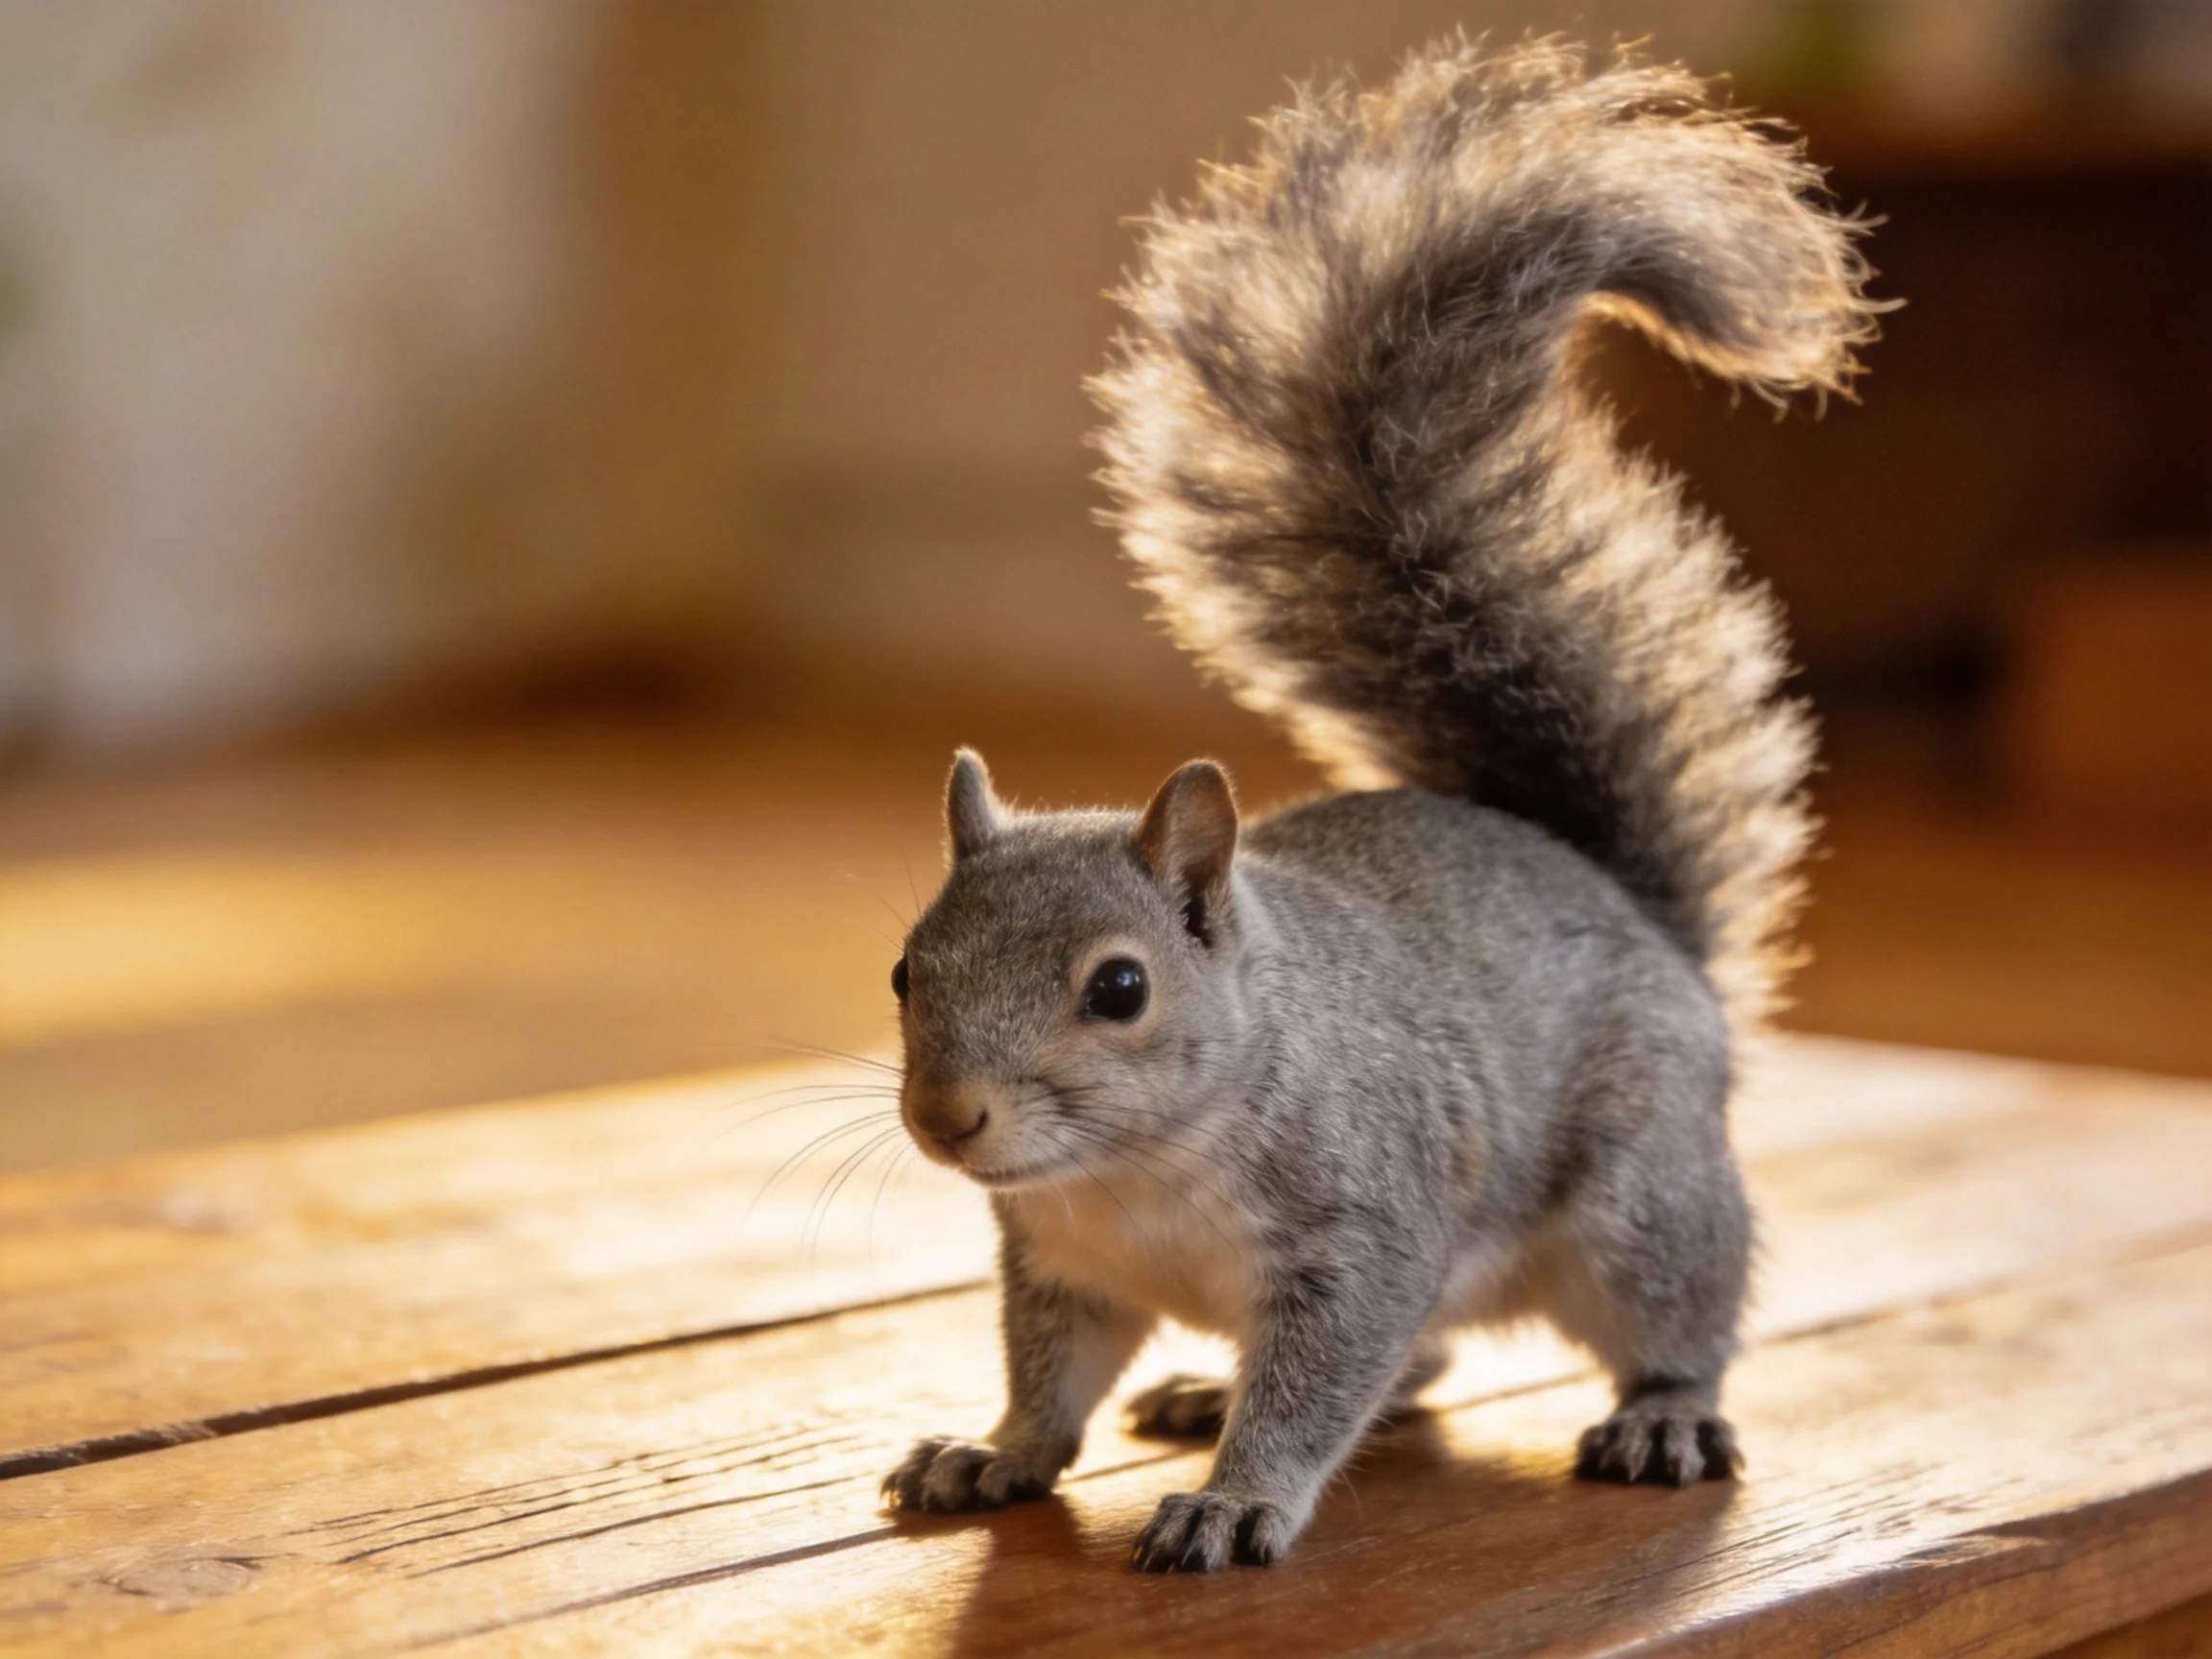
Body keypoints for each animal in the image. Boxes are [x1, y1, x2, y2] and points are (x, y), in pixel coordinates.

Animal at [877, 36, 1881, 1573]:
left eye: (1120, 989)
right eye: (902, 971)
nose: (947, 1120)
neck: (1134, 1170)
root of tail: (1635, 913)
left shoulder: (1365, 1231)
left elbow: (1323, 1377)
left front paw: (1236, 1498)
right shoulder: (1059, 1259)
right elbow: (1047, 1377)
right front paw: (993, 1455)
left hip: (1641, 1199)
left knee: (1675, 1313)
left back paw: (1662, 1418)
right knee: (1433, 1356)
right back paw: (1198, 1389)